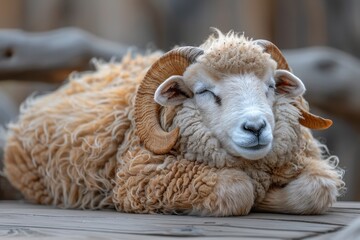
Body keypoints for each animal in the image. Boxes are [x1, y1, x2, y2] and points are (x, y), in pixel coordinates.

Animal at [4, 29, 344, 216]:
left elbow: (317, 188)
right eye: (204, 91)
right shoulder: (141, 178)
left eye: (271, 86)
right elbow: (238, 189)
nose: (256, 128)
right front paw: (258, 197)